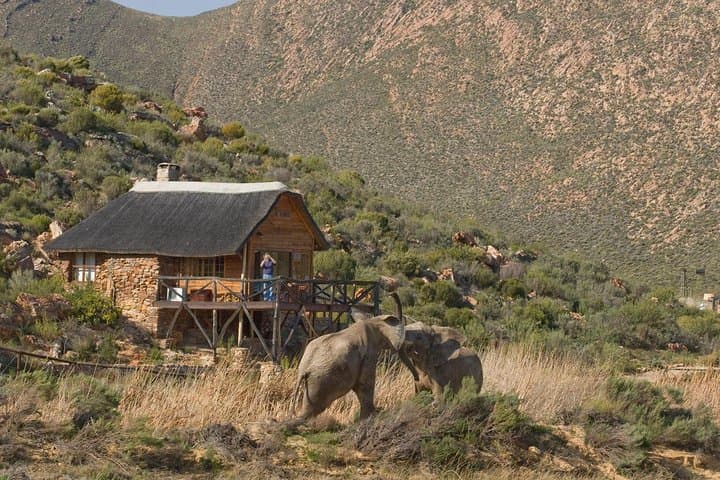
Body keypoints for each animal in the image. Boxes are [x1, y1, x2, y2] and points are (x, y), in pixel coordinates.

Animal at [291, 292, 418, 423]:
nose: (390, 293)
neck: (372, 320)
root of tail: (303, 369)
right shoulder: (368, 353)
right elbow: (365, 384)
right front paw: (370, 417)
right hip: (320, 381)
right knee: (312, 410)